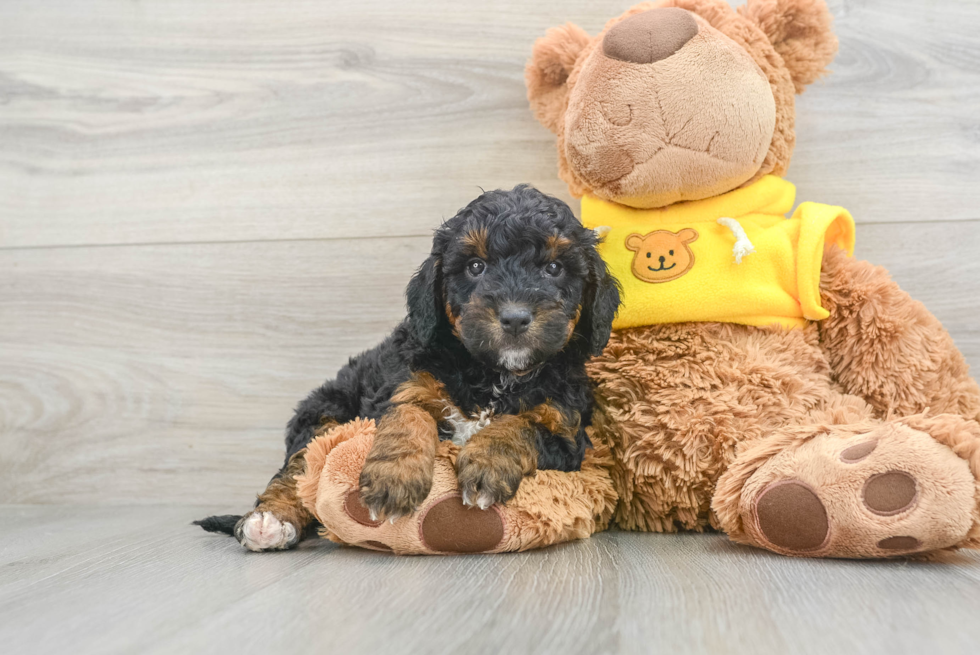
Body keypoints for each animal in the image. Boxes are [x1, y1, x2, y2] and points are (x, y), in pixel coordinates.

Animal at [195, 186, 616, 552]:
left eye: (554, 268)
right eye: (476, 266)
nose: (514, 317)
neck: (493, 374)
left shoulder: (566, 432)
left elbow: (521, 427)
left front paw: (487, 464)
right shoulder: (402, 386)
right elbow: (408, 416)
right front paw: (393, 478)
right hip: (321, 417)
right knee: (294, 471)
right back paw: (269, 520)